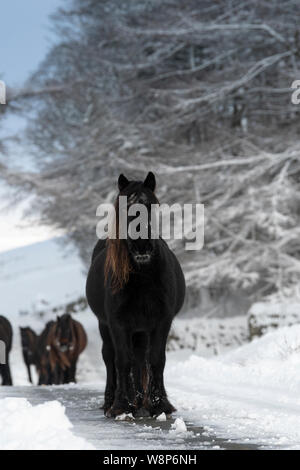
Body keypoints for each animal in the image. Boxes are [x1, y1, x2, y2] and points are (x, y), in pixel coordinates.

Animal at [85, 173, 185, 418]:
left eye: (153, 205)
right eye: (125, 208)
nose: (142, 246)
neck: (143, 277)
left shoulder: (161, 322)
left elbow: (156, 359)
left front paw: (160, 404)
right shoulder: (118, 323)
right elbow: (122, 360)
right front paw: (121, 405)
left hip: (141, 330)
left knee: (140, 358)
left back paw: (140, 400)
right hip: (107, 326)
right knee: (110, 358)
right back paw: (112, 402)